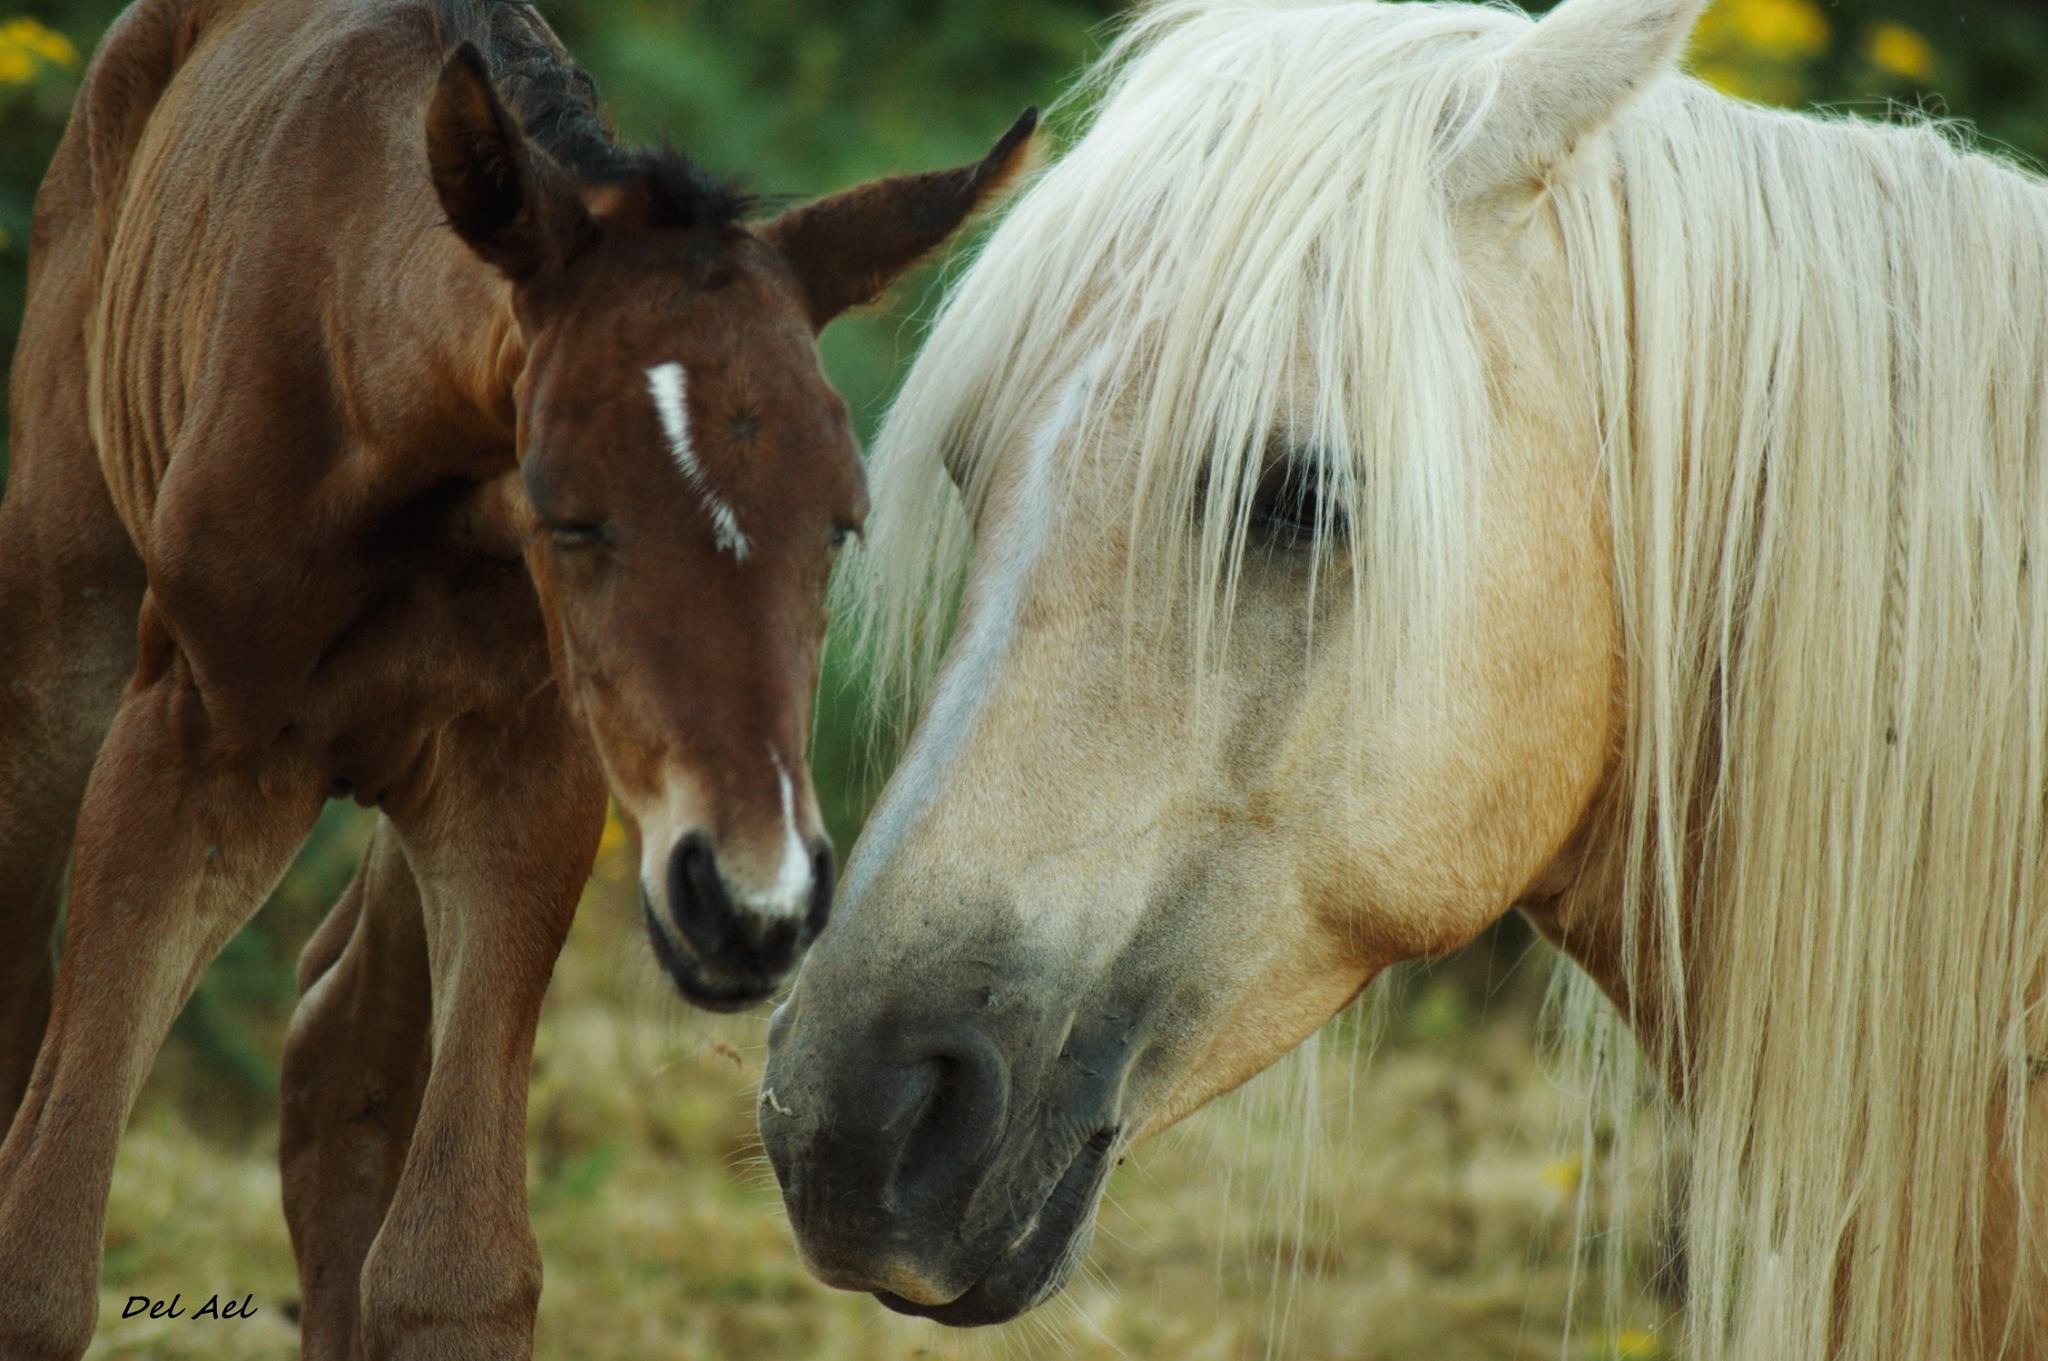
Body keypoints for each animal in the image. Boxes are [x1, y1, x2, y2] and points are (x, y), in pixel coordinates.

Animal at [0, 0, 1032, 1350]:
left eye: (842, 525)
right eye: (568, 514)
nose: (751, 899)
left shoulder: (526, 771)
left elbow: (457, 1263)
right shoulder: (190, 741)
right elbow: (42, 1242)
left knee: (340, 1049)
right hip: (61, 599)